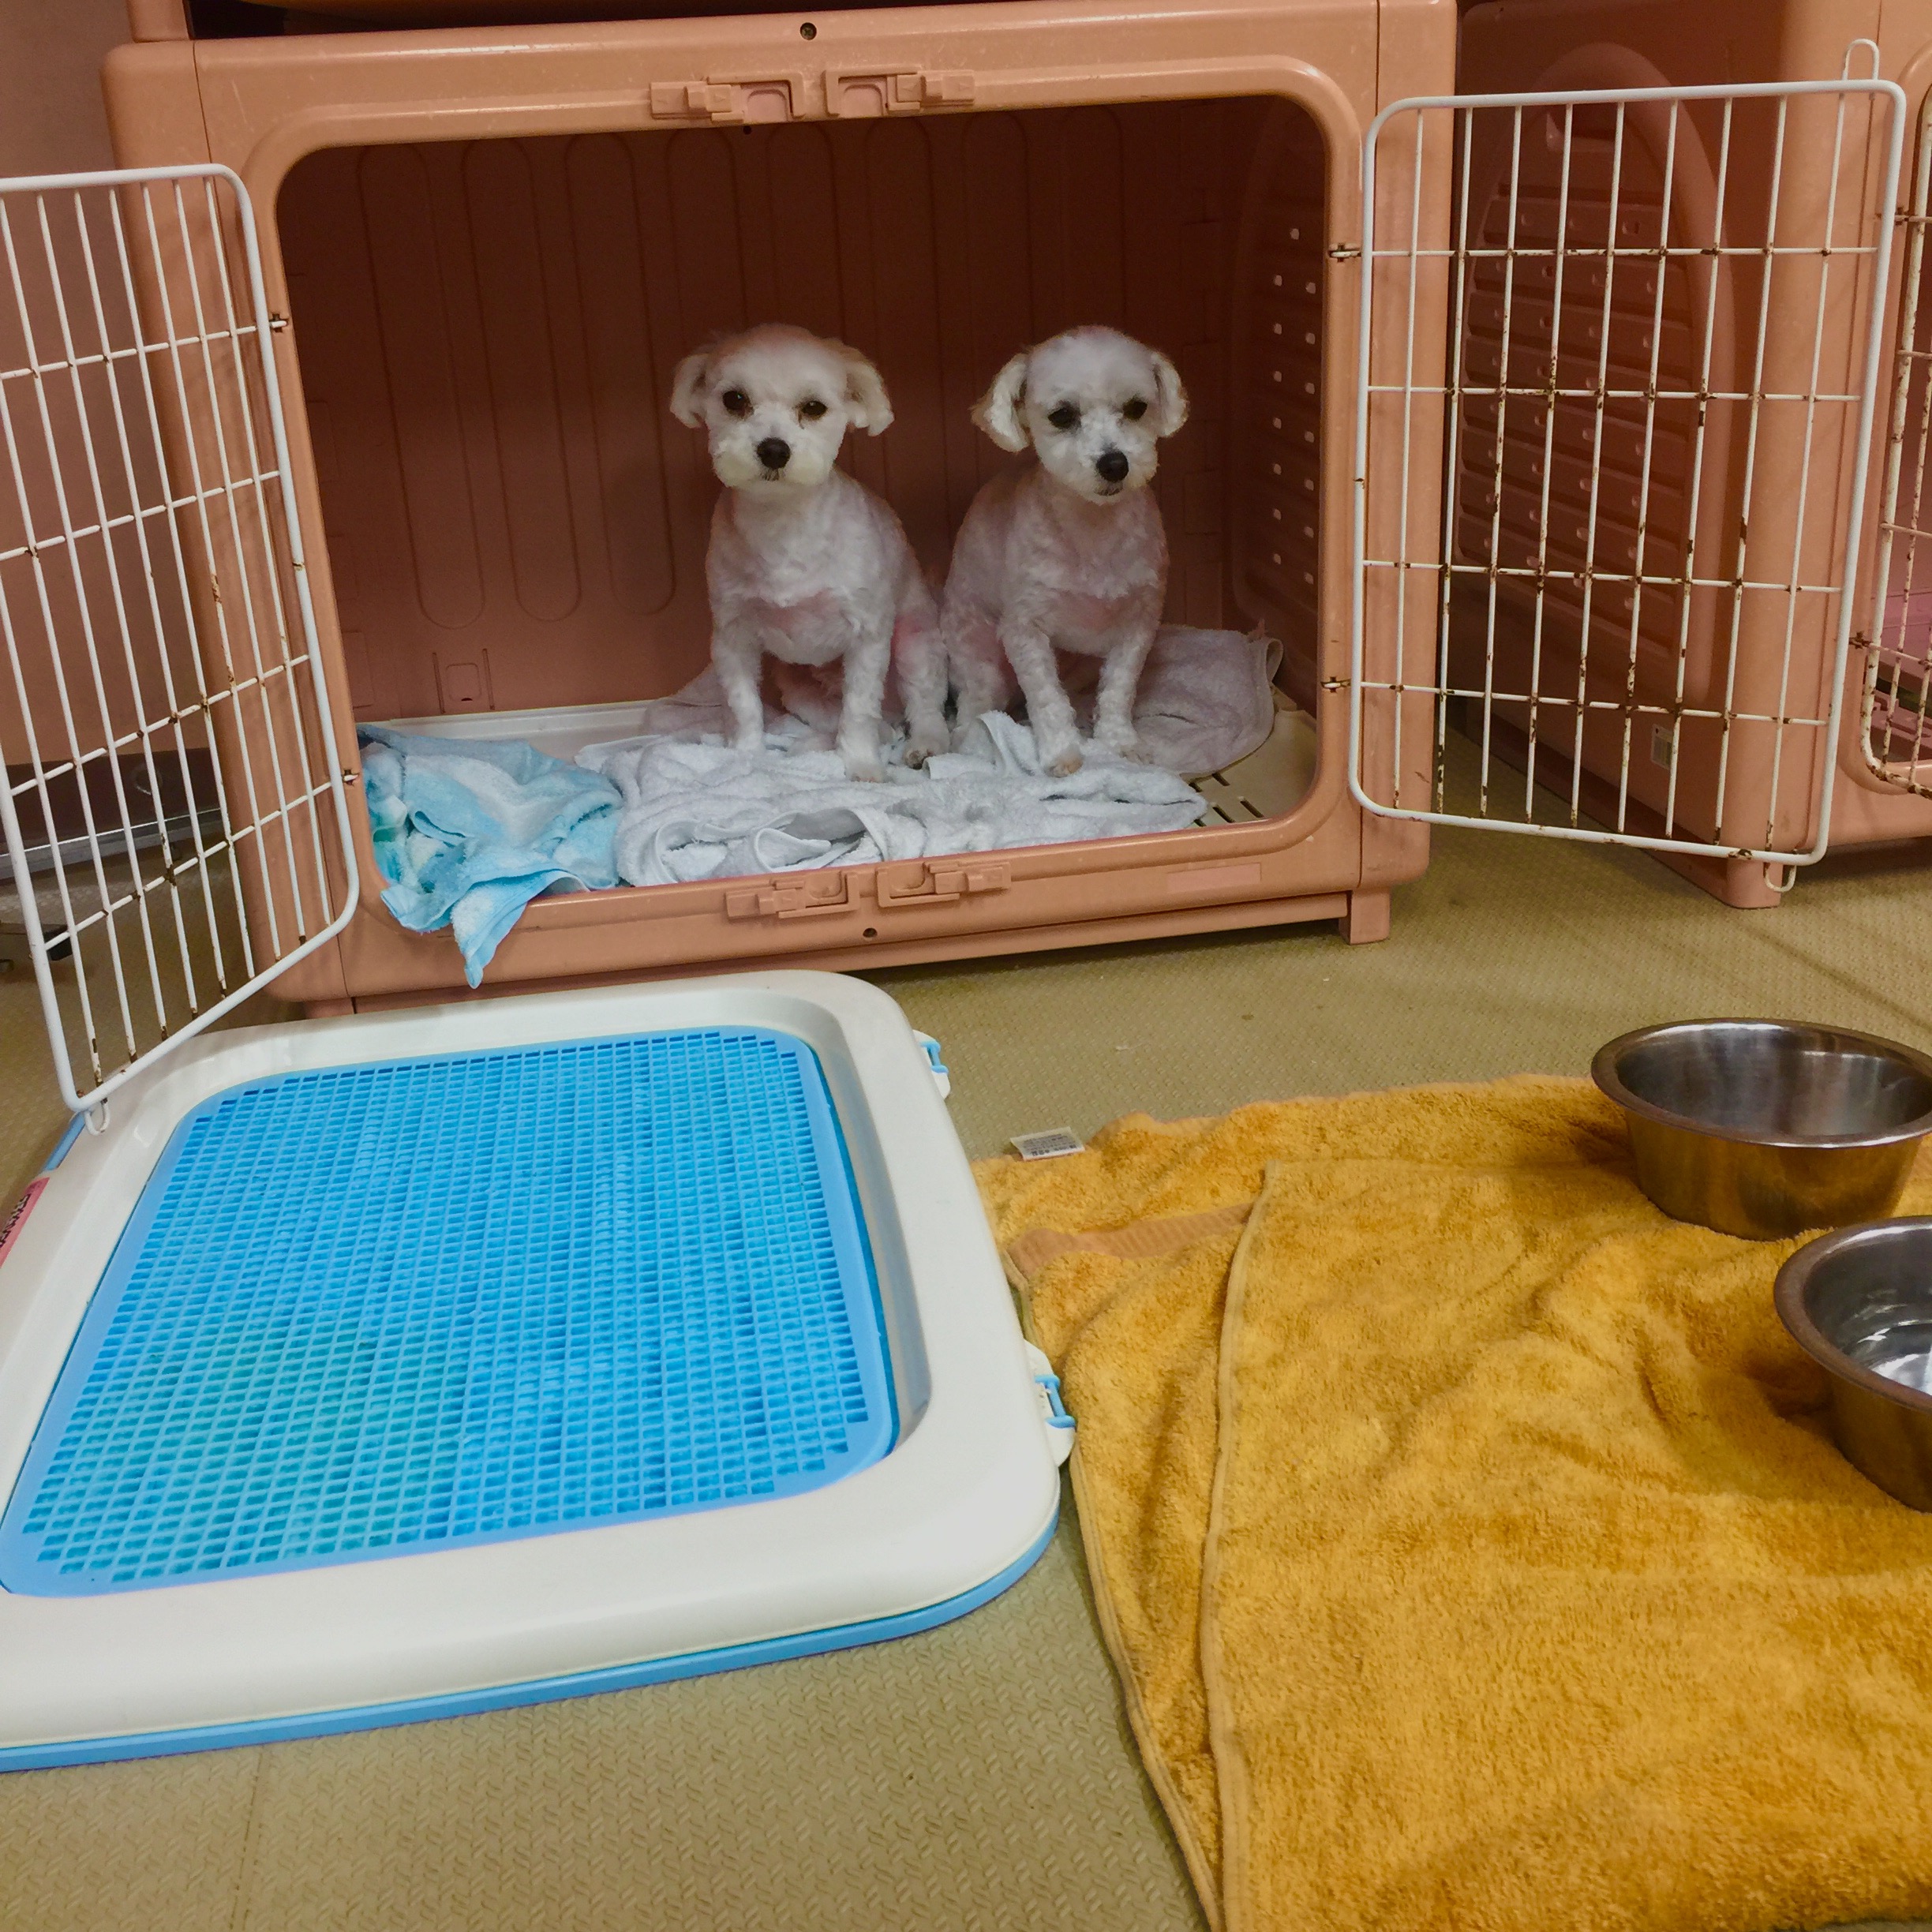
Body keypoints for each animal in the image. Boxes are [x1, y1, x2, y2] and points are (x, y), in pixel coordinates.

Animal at [670, 323, 948, 781]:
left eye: (814, 408)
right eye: (734, 400)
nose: (774, 449)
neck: (783, 524)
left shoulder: (867, 636)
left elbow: (859, 711)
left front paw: (861, 765)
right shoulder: (733, 636)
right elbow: (742, 707)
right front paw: (745, 758)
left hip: (913, 642)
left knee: (921, 703)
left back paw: (924, 743)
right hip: (799, 688)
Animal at [942, 326, 1188, 775]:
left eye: (1137, 407)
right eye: (1062, 416)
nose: (1114, 463)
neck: (1093, 528)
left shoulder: (1138, 624)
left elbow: (1119, 689)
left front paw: (1119, 743)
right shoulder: (1025, 629)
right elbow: (1046, 698)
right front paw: (1062, 754)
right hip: (979, 658)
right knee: (974, 708)